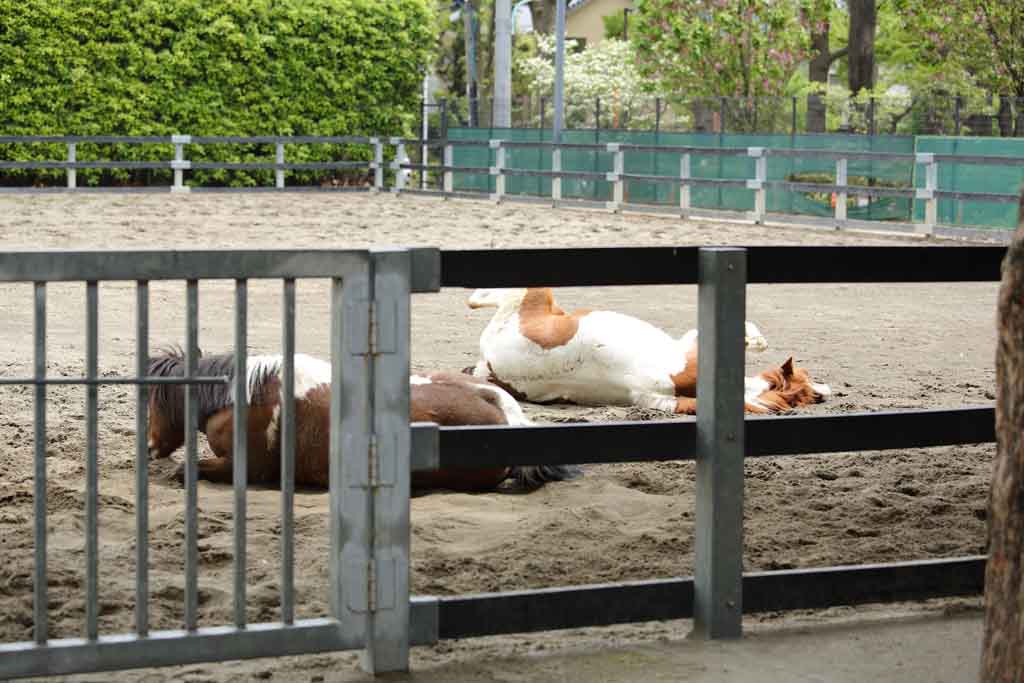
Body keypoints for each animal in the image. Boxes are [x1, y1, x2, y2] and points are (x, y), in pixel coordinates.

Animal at [464, 287, 830, 415]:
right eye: (806, 376)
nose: (826, 391)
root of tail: (491, 356)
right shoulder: (692, 343)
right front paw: (756, 341)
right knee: (484, 296)